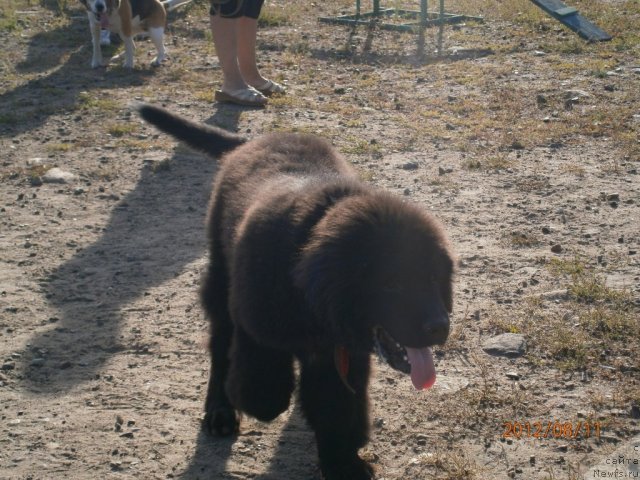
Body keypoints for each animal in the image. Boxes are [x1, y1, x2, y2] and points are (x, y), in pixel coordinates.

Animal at [139, 103, 456, 478]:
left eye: (434, 279)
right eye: (392, 283)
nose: (440, 327)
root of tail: (255, 141)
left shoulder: (342, 356)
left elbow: (337, 412)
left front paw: (342, 464)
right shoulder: (254, 327)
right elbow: (263, 391)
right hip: (219, 279)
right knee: (220, 345)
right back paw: (220, 410)